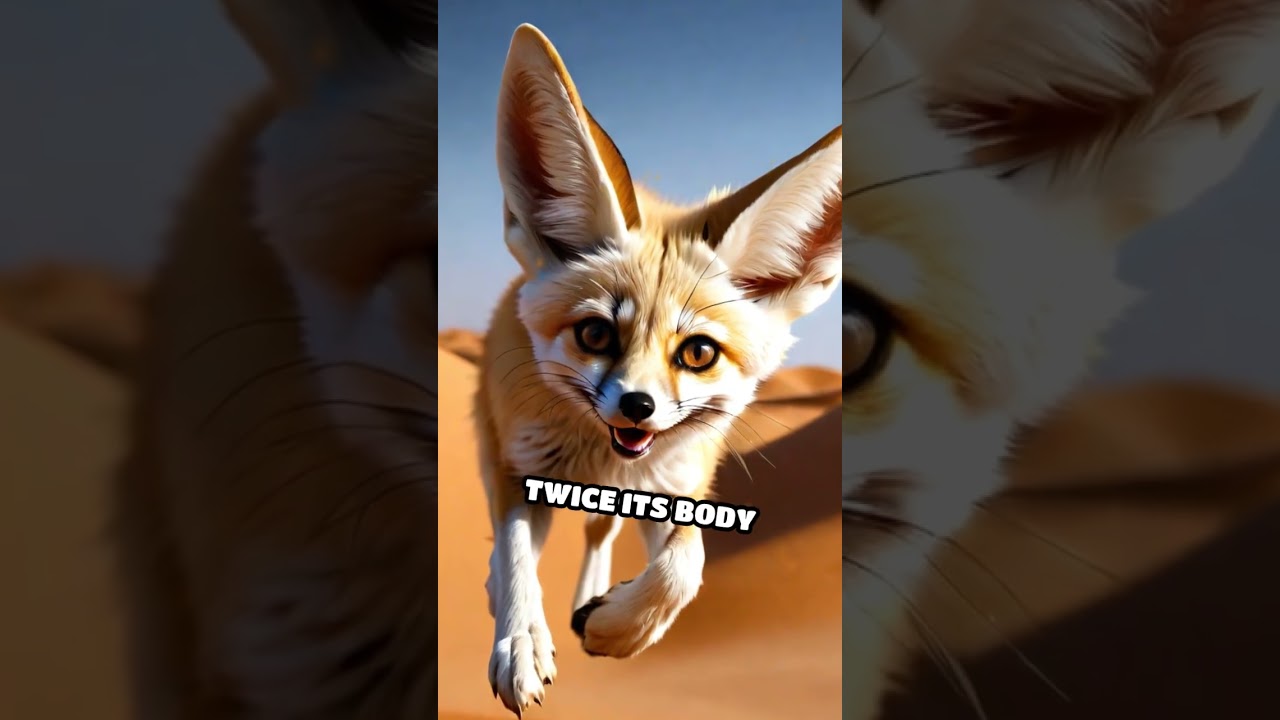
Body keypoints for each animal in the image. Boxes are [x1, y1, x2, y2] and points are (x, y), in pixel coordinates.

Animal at [476, 24, 842, 715]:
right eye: (595, 333)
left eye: (697, 353)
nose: (637, 407)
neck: (601, 466)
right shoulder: (517, 470)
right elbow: (514, 557)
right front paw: (522, 639)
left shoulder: (674, 489)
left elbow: (684, 568)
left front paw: (616, 629)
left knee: (600, 533)